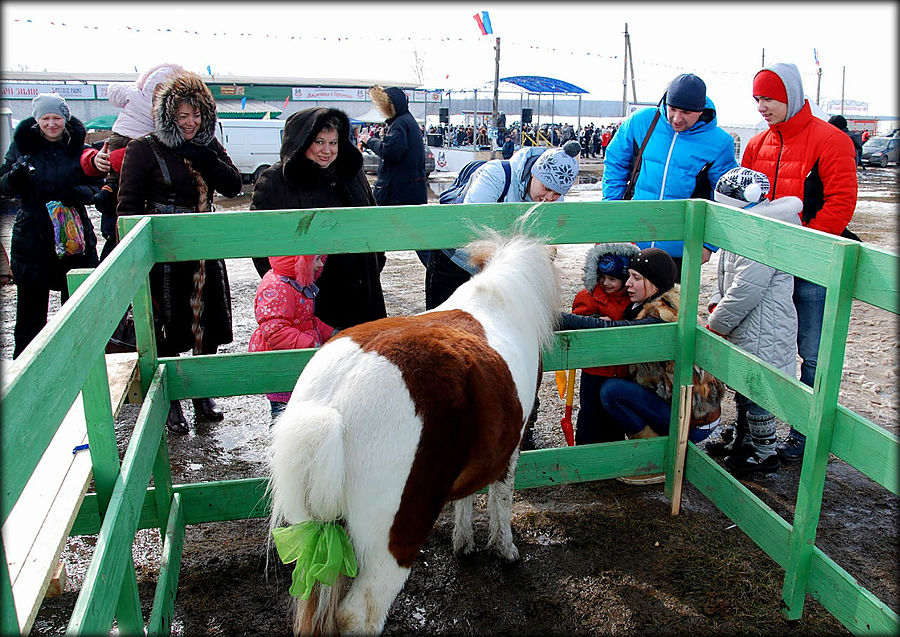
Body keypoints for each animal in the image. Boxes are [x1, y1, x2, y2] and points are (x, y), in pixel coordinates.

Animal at [268, 226, 564, 632]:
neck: (500, 300)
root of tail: (333, 408)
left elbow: (466, 496)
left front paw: (463, 543)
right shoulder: (509, 449)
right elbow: (501, 498)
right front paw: (504, 550)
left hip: (316, 536)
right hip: (394, 543)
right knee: (359, 615)